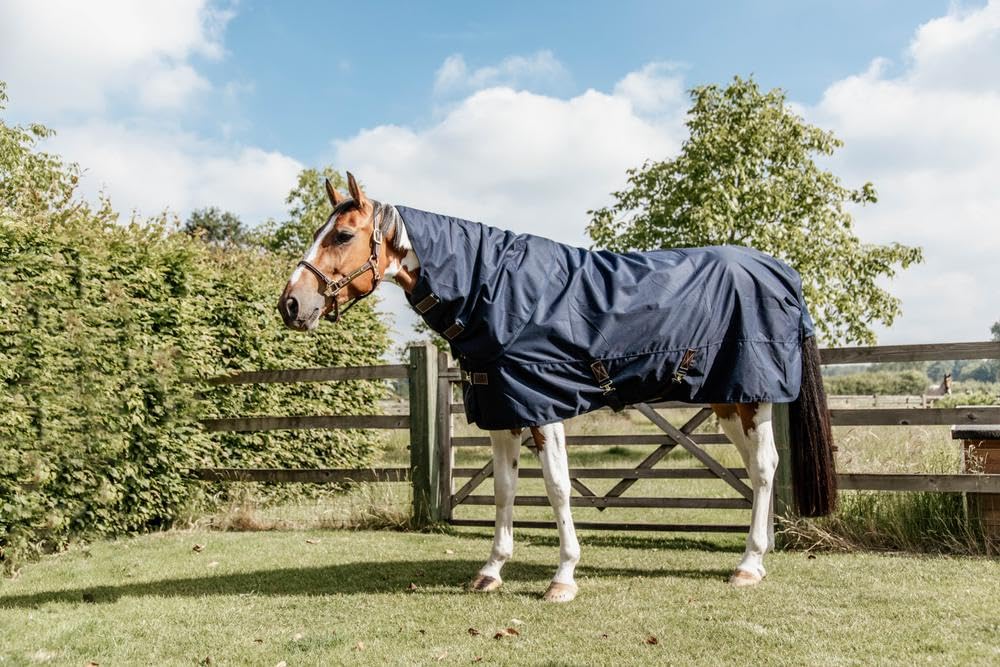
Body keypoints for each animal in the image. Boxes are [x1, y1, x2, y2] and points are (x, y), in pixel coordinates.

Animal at [278, 173, 837, 603]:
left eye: (342, 236)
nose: (291, 304)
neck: (496, 292)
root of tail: (781, 272)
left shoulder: (543, 407)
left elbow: (557, 488)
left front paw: (563, 576)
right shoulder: (502, 410)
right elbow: (505, 490)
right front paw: (491, 572)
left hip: (754, 396)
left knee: (763, 468)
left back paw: (748, 564)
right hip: (727, 399)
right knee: (758, 469)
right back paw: (760, 554)